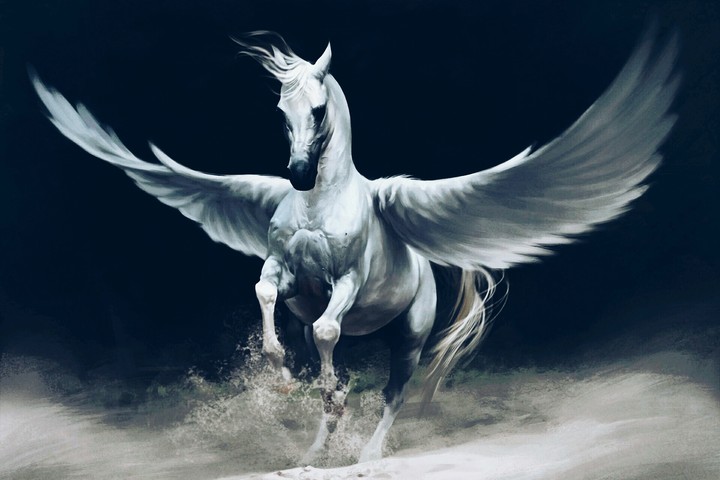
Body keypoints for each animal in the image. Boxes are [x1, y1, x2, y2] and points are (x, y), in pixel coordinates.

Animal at [31, 28, 678, 463]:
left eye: (319, 110)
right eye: (281, 109)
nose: (295, 175)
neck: (322, 201)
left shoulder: (345, 282)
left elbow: (325, 331)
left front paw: (309, 389)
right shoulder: (286, 269)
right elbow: (266, 293)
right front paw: (281, 376)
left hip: (408, 340)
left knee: (392, 392)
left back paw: (366, 458)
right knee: (338, 375)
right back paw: (310, 453)